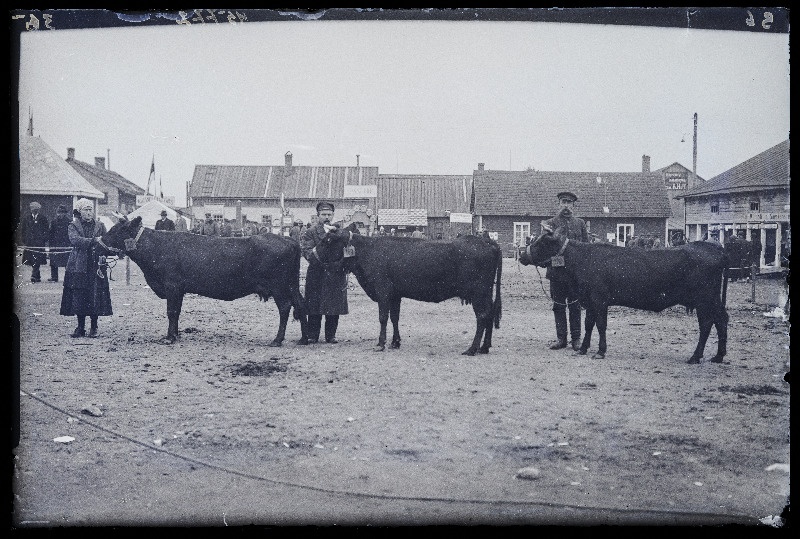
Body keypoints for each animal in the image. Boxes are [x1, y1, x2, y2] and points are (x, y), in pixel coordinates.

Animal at [101, 215, 308, 346]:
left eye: (117, 229)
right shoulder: (179, 289)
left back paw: (277, 340)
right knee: (300, 304)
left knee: (285, 308)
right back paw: (304, 339)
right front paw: (175, 334)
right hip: (291, 285)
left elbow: (171, 311)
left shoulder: (172, 286)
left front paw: (169, 337)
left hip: (279, 287)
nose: (98, 241)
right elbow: (177, 312)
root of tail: (289, 240)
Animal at [310, 225, 500, 356]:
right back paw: (484, 347)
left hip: (479, 292)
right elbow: (395, 318)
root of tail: (486, 241)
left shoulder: (383, 292)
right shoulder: (395, 295)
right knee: (490, 313)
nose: (311, 255)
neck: (367, 252)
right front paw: (395, 342)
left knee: (482, 316)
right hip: (486, 292)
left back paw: (472, 349)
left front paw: (381, 344)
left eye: (327, 241)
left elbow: (383, 318)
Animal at [520, 235, 732, 364]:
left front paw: (600, 351)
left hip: (704, 299)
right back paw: (718, 356)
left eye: (540, 243)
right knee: (721, 320)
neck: (584, 259)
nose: (522, 254)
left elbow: (601, 325)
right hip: (712, 300)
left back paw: (695, 356)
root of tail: (716, 249)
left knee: (707, 323)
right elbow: (589, 324)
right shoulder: (589, 300)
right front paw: (583, 348)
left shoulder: (599, 299)